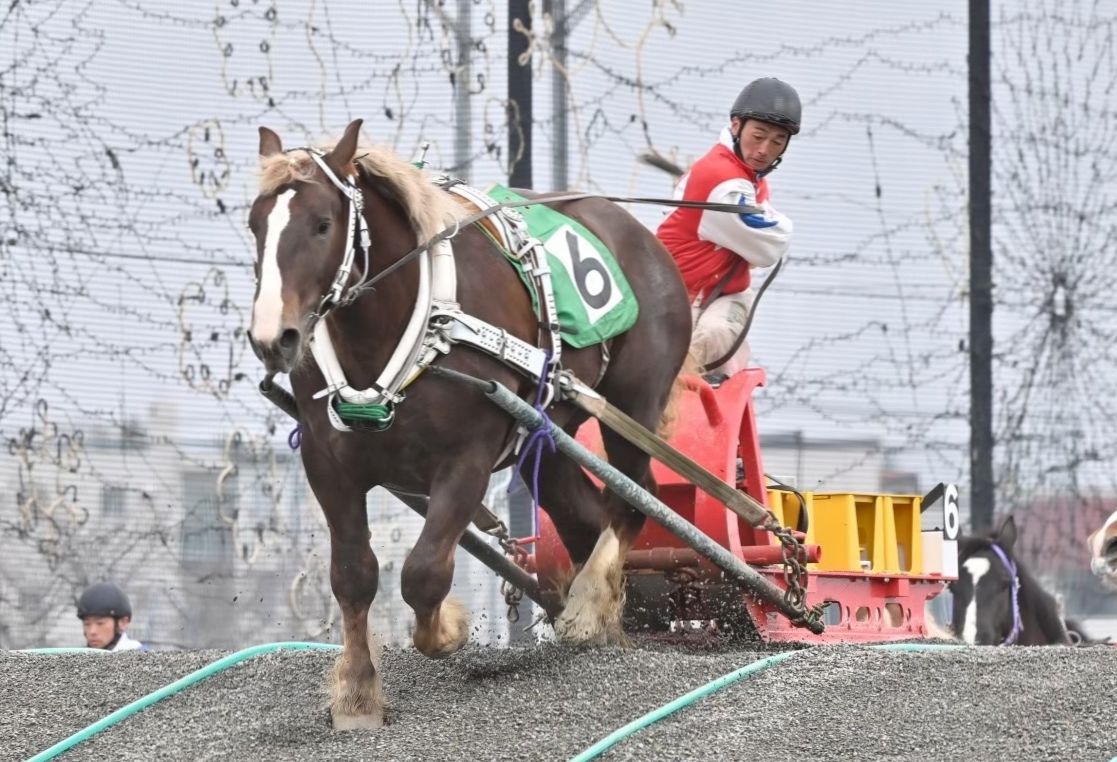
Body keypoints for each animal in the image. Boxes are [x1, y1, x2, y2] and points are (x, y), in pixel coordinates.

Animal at [245, 120, 692, 728]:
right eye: (255, 225)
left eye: (322, 224)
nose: (274, 337)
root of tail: (643, 238)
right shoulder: (327, 462)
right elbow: (353, 575)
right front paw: (357, 692)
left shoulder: (467, 460)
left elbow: (424, 573)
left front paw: (449, 630)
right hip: (547, 436)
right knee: (583, 516)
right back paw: (600, 618)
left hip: (635, 402)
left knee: (634, 496)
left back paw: (588, 606)